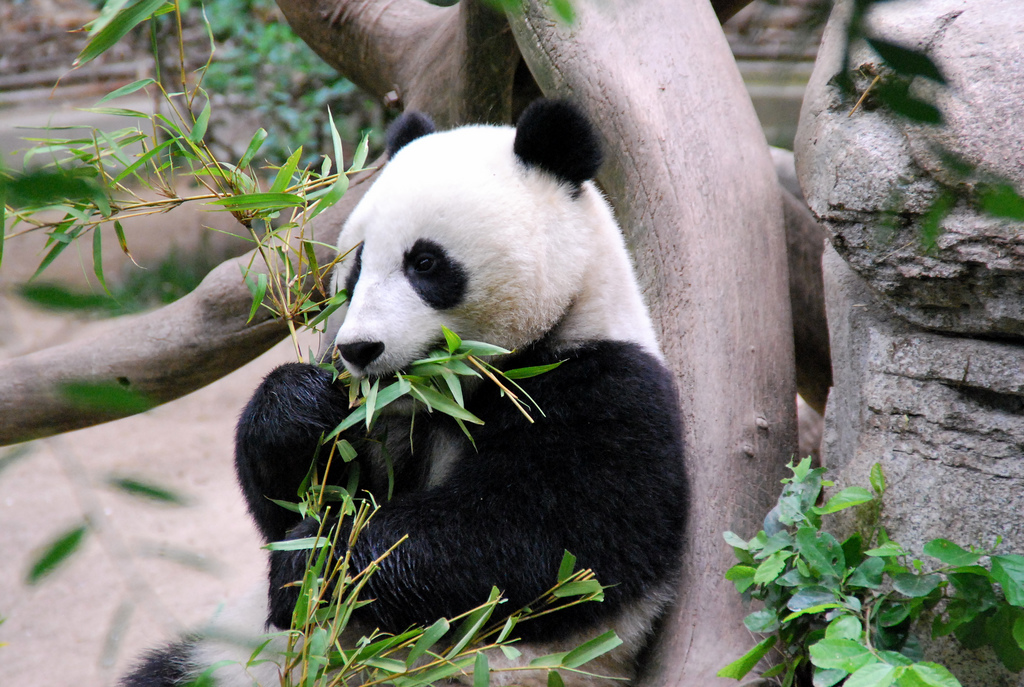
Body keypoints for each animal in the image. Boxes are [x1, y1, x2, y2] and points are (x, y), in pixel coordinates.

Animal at [125, 99, 688, 687]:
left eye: (425, 263)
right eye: (354, 267)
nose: (359, 349)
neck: (453, 394)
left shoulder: (603, 386)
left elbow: (540, 546)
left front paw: (319, 566)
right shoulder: (388, 420)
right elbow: (299, 499)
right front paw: (299, 411)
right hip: (224, 659)